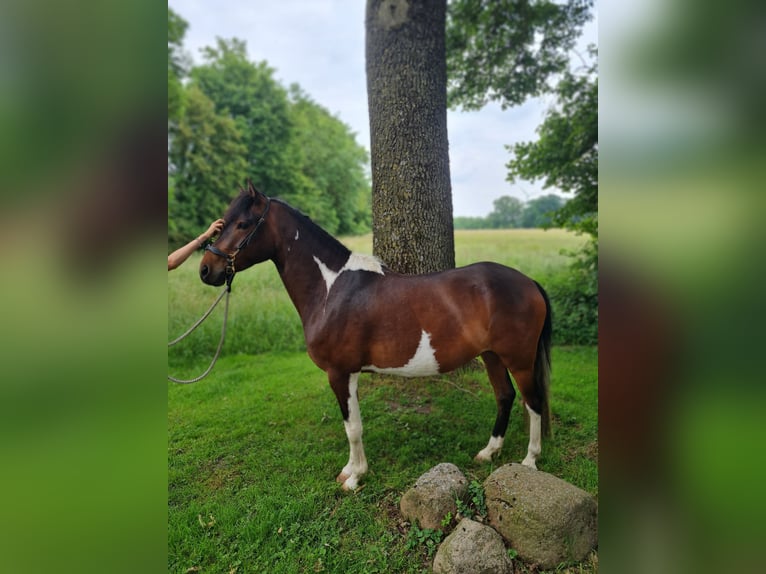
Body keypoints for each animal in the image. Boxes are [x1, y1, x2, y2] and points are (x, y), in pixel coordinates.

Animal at [200, 183, 552, 490]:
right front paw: (349, 470)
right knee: (505, 396)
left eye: (243, 224)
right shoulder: (350, 374)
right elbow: (352, 424)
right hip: (492, 356)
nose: (206, 269)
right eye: (224, 223)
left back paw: (530, 461)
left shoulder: (340, 373)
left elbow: (353, 427)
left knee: (532, 402)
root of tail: (529, 282)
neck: (331, 289)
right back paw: (488, 452)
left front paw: (355, 477)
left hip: (519, 359)